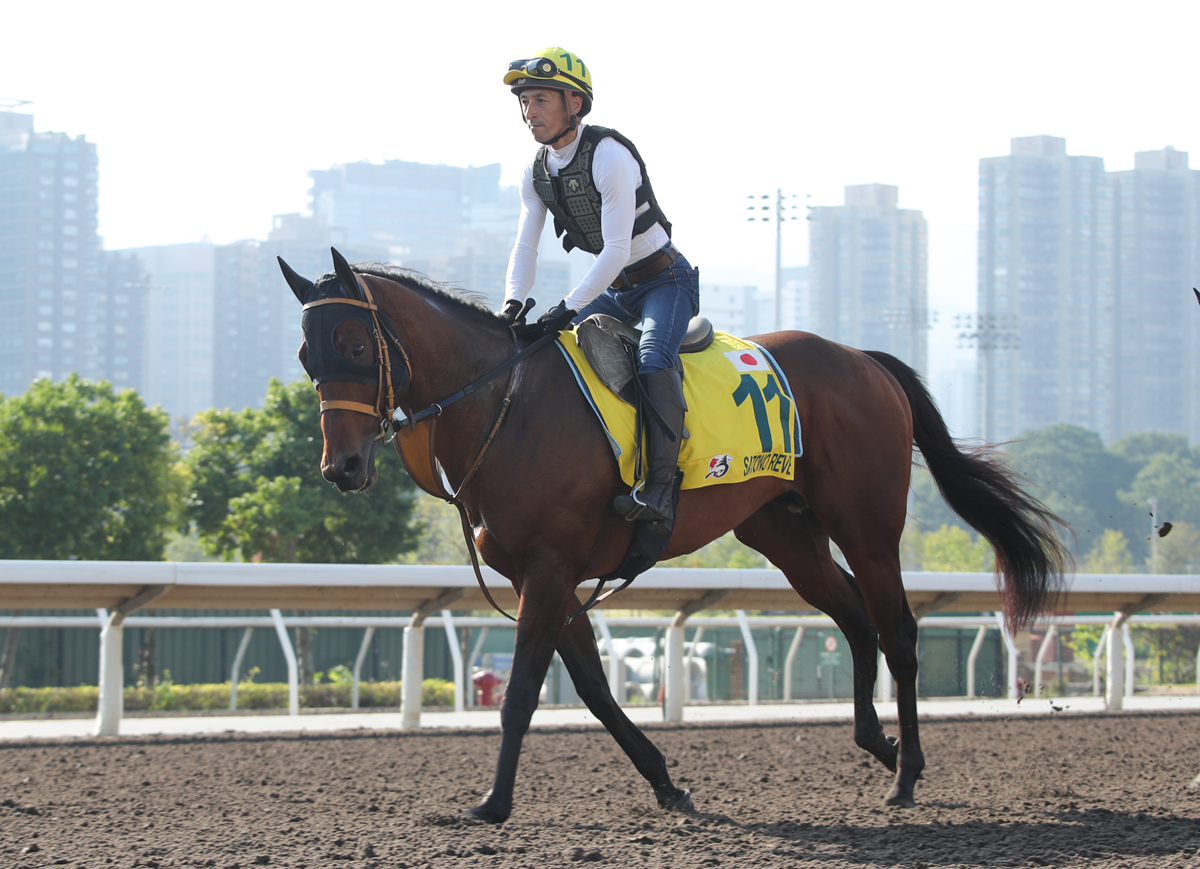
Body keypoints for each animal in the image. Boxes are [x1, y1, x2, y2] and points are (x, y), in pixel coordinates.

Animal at [280, 249, 1070, 820]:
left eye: (355, 344)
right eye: (306, 355)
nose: (342, 467)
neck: (508, 404)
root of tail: (865, 361)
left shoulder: (549, 567)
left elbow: (523, 692)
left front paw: (492, 803)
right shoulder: (549, 576)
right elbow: (594, 688)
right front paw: (667, 783)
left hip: (868, 526)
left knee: (898, 629)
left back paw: (905, 774)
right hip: (785, 534)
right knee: (854, 619)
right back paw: (877, 742)